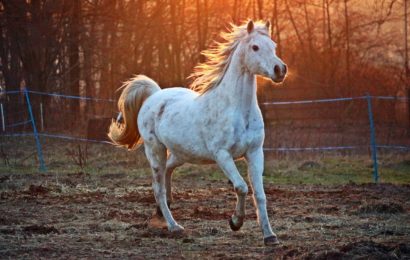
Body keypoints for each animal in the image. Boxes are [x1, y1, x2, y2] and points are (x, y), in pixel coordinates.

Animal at [109, 20, 288, 246]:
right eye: (255, 47)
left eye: (273, 46)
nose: (280, 70)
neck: (237, 110)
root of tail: (154, 95)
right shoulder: (222, 155)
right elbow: (241, 187)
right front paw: (235, 222)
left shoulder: (255, 152)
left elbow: (260, 194)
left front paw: (270, 236)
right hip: (155, 150)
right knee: (158, 188)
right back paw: (174, 226)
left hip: (181, 153)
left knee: (167, 172)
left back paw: (163, 211)